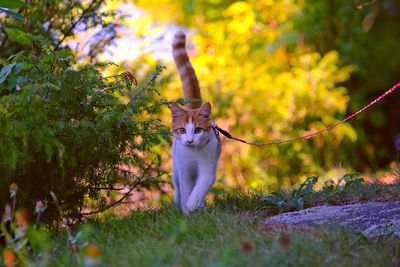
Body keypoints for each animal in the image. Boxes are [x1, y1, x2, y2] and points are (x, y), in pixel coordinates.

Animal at [170, 30, 222, 216]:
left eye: (198, 129)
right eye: (182, 130)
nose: (190, 141)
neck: (194, 153)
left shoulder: (207, 169)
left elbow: (199, 189)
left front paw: (193, 205)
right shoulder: (184, 170)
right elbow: (186, 190)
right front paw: (186, 210)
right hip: (175, 167)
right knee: (177, 187)